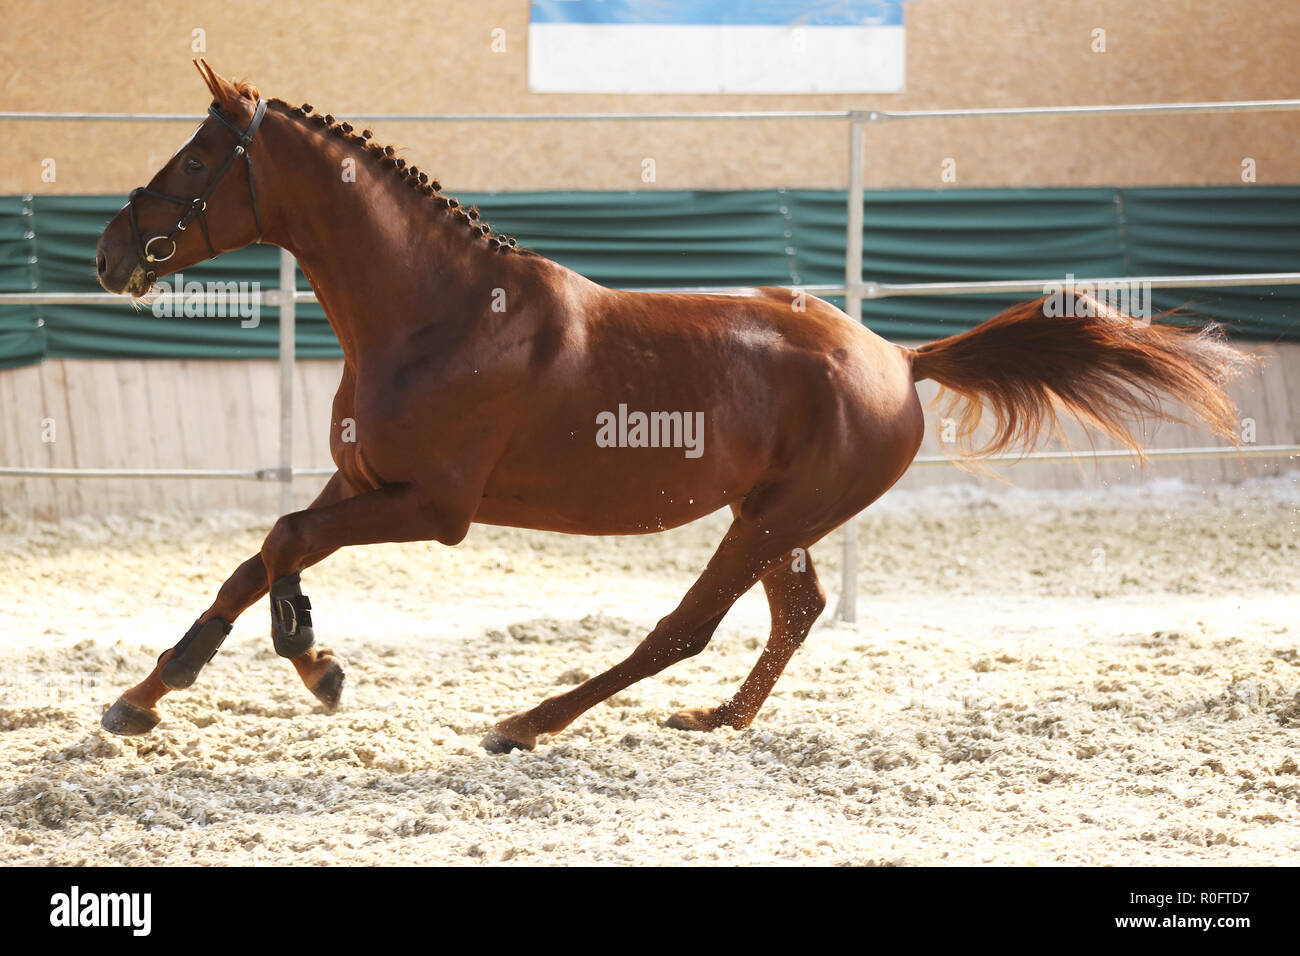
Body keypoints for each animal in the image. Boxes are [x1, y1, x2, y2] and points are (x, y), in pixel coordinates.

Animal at [93, 61, 1251, 753]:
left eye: (195, 158)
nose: (109, 253)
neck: (440, 313)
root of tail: (899, 357)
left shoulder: (431, 505)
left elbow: (285, 539)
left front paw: (313, 663)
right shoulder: (362, 480)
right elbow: (260, 552)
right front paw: (151, 694)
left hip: (770, 520)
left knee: (685, 628)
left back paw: (527, 721)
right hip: (771, 517)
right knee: (792, 612)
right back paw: (717, 719)